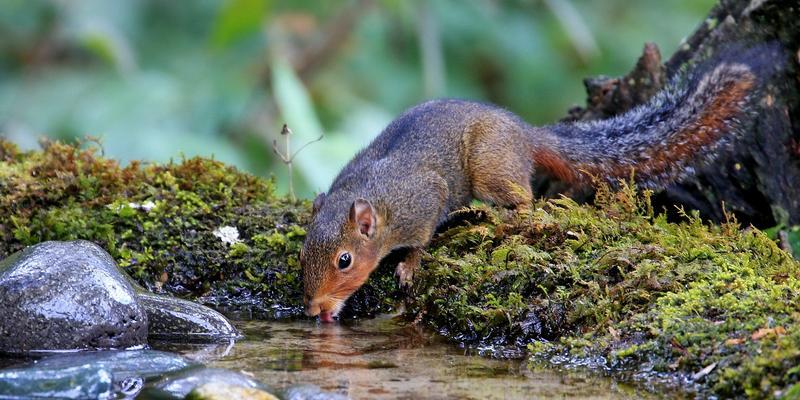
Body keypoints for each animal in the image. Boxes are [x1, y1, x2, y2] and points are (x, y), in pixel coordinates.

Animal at [300, 45, 776, 324]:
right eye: (302, 253)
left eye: (344, 261)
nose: (315, 309)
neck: (373, 197)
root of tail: (526, 134)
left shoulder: (422, 200)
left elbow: (420, 239)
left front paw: (408, 266)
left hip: (489, 168)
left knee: (524, 198)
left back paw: (508, 219)